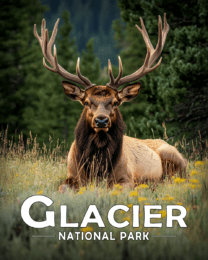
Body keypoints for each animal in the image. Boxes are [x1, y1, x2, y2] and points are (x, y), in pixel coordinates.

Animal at [33, 14, 187, 193]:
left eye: (115, 102)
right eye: (86, 102)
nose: (101, 120)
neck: (97, 168)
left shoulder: (126, 179)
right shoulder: (72, 175)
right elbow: (63, 189)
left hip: (174, 158)